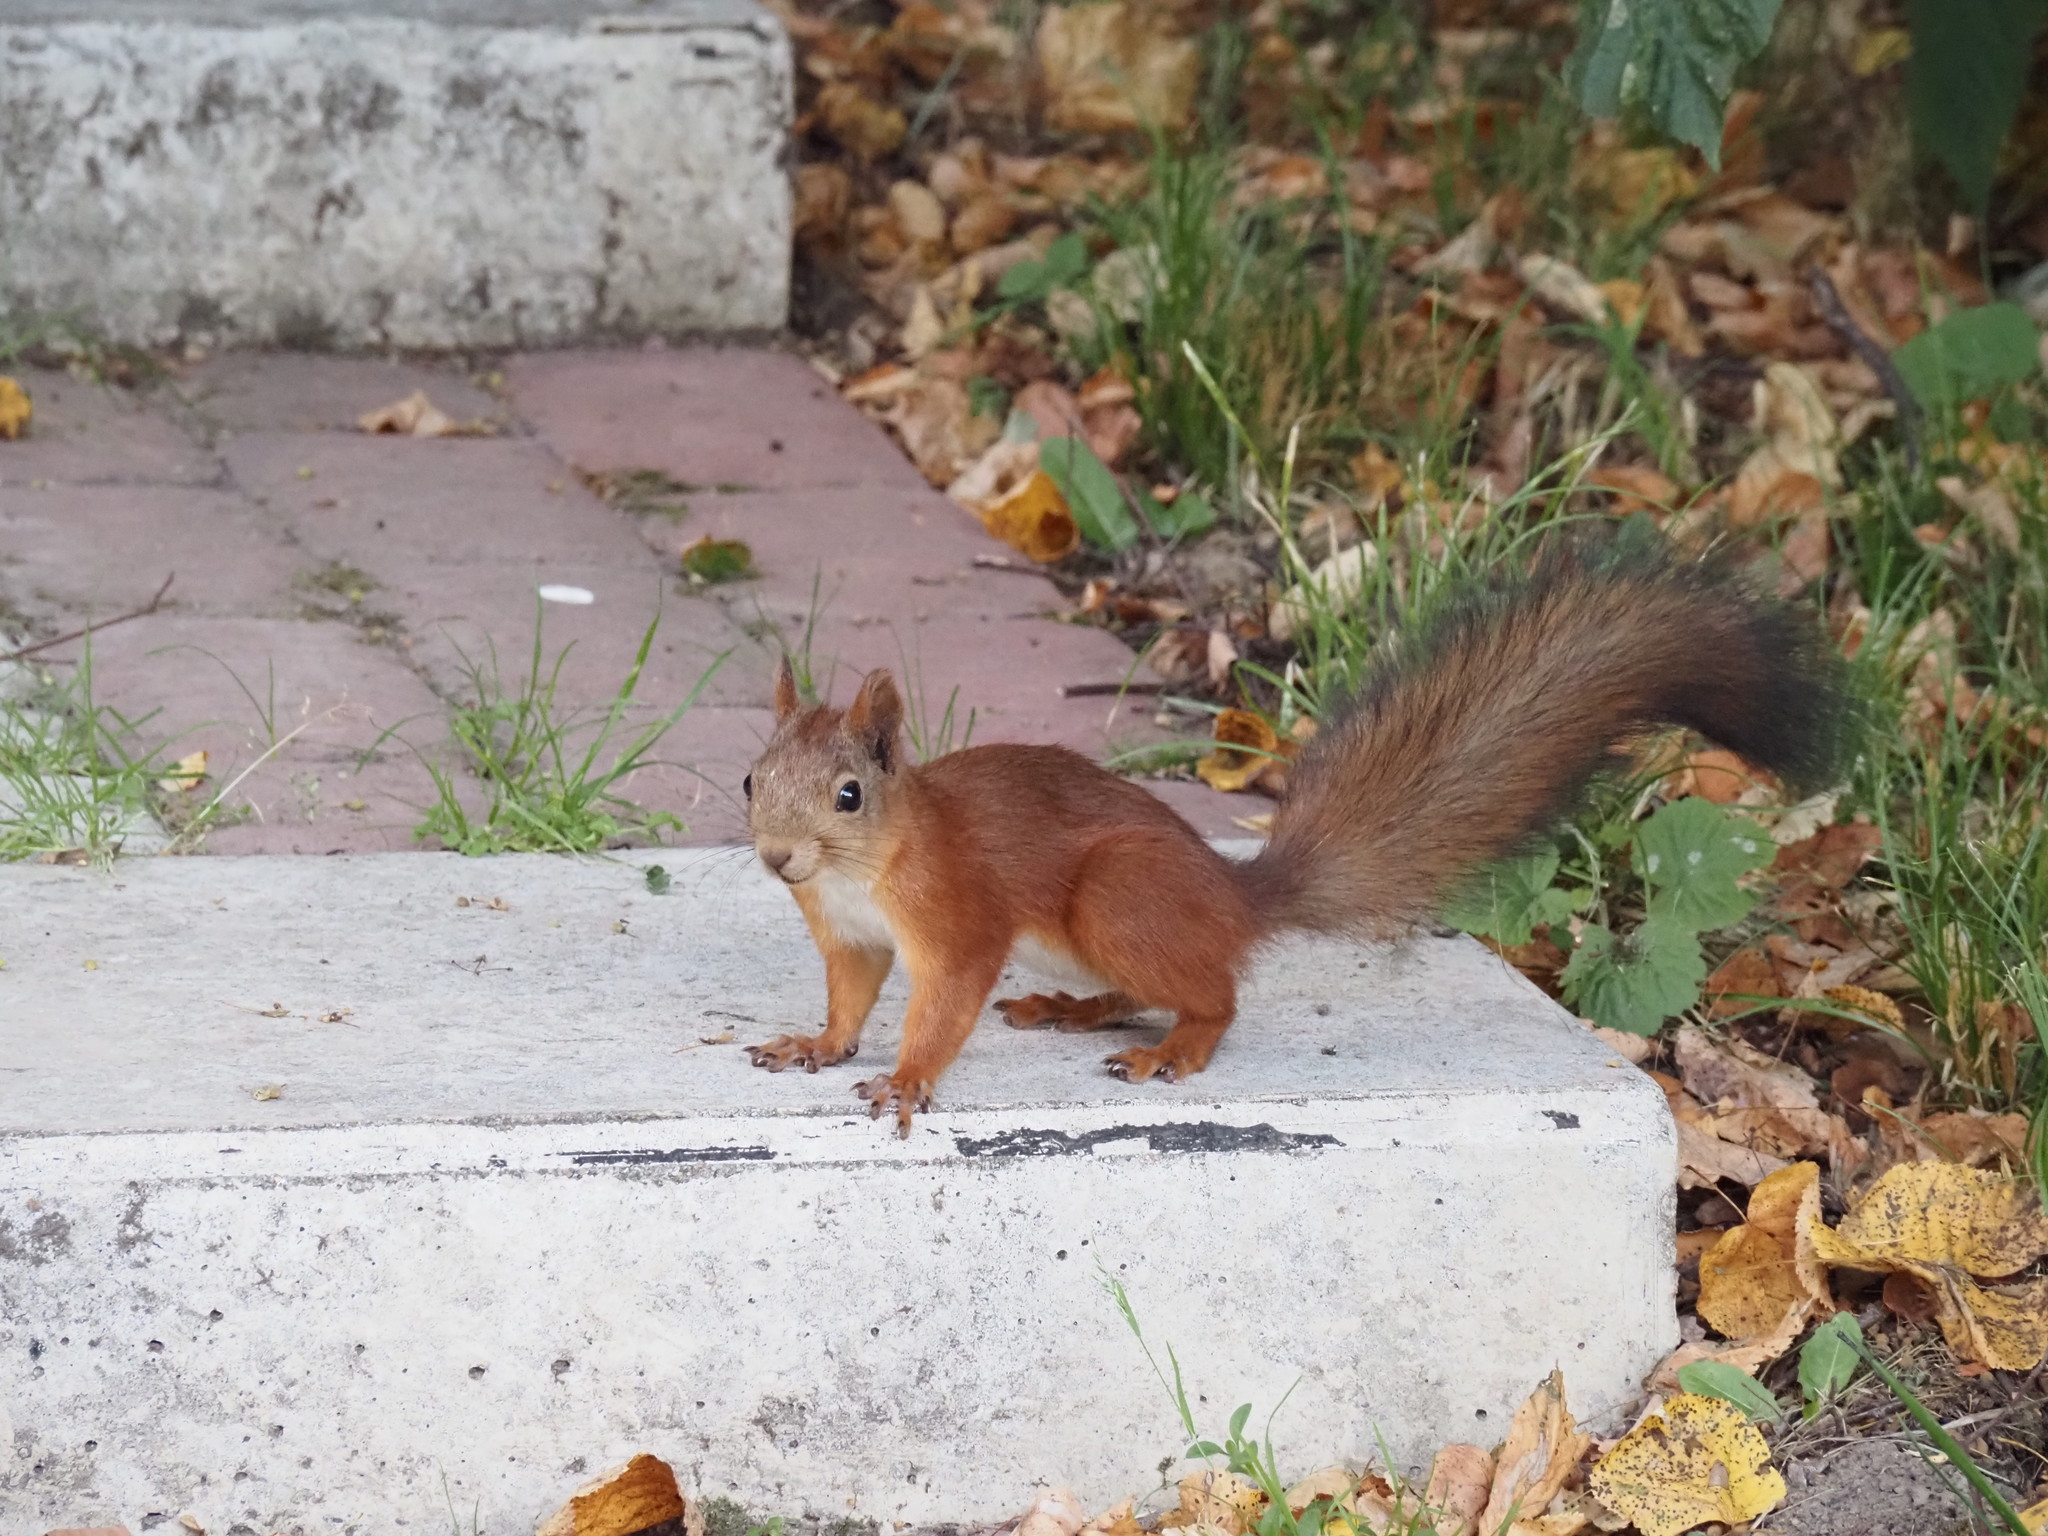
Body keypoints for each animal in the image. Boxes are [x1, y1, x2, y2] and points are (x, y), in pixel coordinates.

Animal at [741, 536, 1859, 1130]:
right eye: (751, 779)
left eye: (850, 794)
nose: (777, 858)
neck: (859, 874)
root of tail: (1232, 894)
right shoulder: (848, 937)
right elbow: (848, 1000)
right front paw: (816, 1044)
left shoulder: (956, 916)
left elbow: (945, 1003)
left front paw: (906, 1079)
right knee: (1147, 989)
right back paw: (1074, 1009)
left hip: (1115, 901)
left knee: (1215, 997)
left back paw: (1170, 1051)